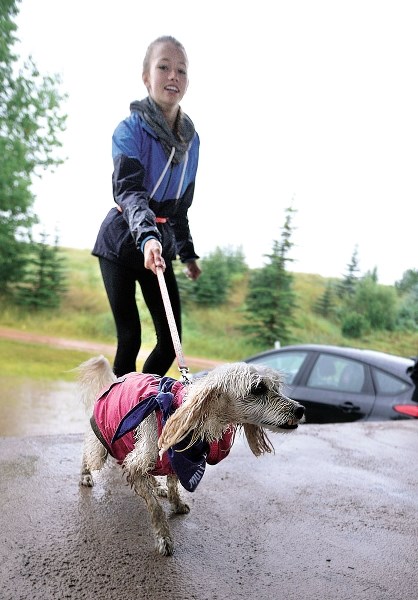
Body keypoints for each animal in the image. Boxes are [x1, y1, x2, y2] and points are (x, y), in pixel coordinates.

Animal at [76, 354, 306, 556]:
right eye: (258, 388)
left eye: (276, 387)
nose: (300, 409)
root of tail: (114, 381)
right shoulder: (138, 463)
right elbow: (155, 508)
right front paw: (164, 538)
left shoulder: (178, 461)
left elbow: (173, 484)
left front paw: (175, 502)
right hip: (101, 446)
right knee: (88, 453)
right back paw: (86, 475)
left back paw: (156, 485)